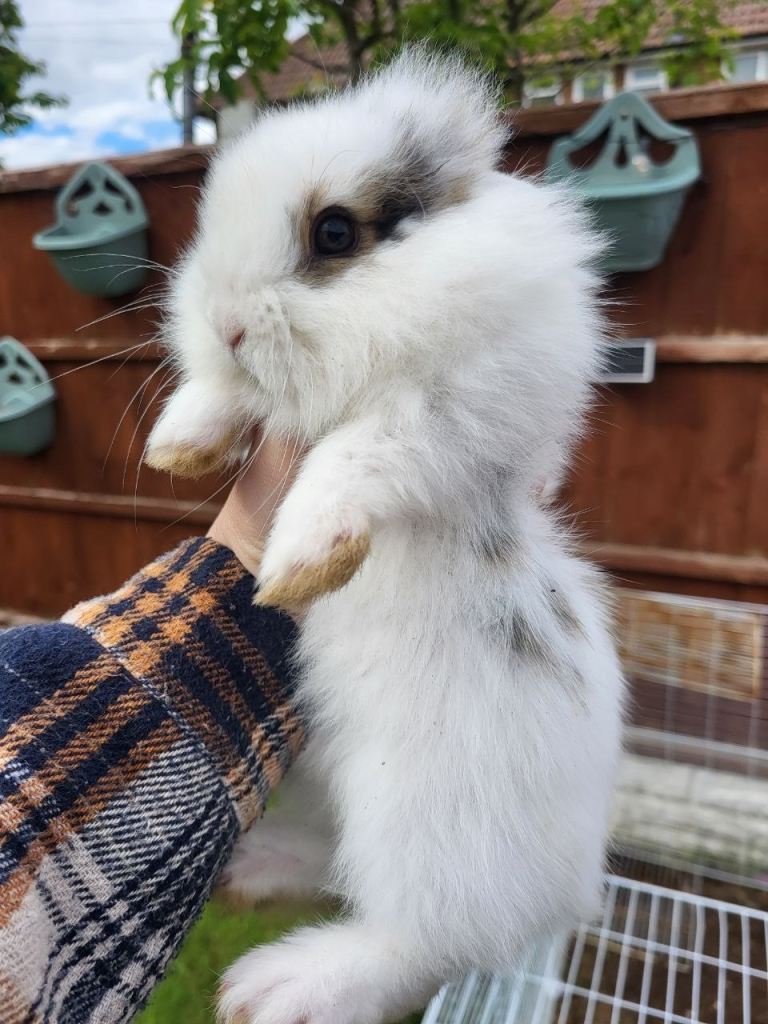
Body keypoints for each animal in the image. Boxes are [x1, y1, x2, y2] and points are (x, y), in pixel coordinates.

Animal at [145, 49, 624, 1024]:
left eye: (335, 232)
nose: (227, 324)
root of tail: (575, 889)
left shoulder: (455, 405)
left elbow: (366, 446)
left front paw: (300, 561)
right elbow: (226, 399)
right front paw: (179, 443)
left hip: (429, 820)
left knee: (422, 939)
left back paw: (279, 989)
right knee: (331, 866)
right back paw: (252, 874)